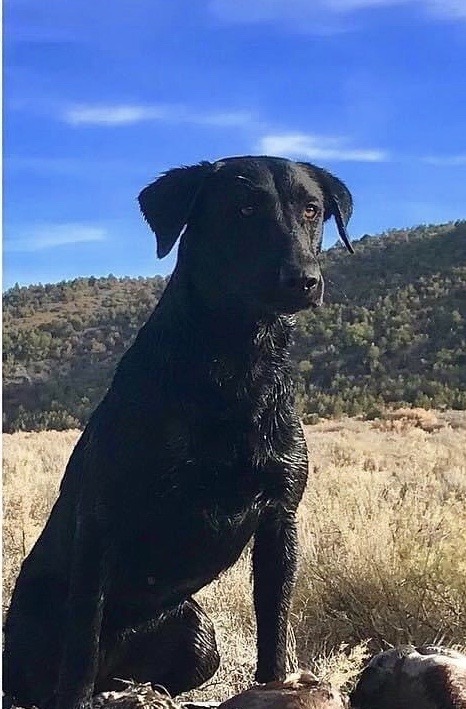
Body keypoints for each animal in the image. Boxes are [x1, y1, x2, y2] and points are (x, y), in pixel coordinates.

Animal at [3, 155, 354, 708]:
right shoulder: (102, 521)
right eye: (244, 207)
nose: (303, 280)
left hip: (197, 635)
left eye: (312, 210)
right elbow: (81, 641)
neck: (237, 364)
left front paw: (275, 687)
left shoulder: (280, 517)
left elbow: (274, 625)